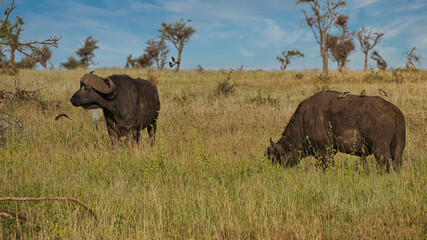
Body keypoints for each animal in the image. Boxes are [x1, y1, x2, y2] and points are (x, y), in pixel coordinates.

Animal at [270, 90, 406, 171]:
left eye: (276, 159)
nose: (274, 170)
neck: (303, 121)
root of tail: (392, 108)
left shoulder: (324, 152)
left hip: (380, 150)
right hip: (398, 148)